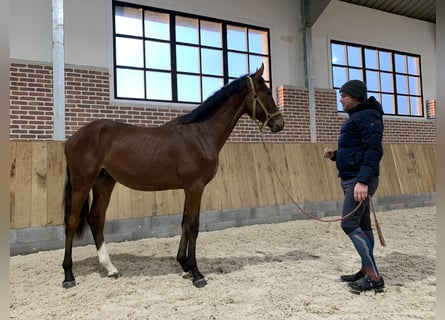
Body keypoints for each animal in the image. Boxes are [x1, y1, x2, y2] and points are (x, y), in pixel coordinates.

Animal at [61, 63, 284, 288]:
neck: (201, 134)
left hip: (104, 183)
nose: (279, 124)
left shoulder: (189, 188)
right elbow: (193, 226)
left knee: (96, 219)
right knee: (72, 222)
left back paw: (110, 268)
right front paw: (196, 273)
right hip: (82, 184)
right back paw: (69, 275)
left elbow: (185, 223)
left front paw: (184, 265)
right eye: (266, 93)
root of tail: (72, 139)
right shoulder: (195, 187)